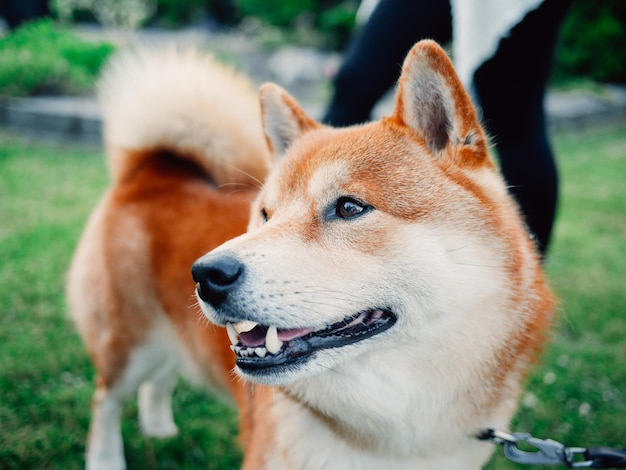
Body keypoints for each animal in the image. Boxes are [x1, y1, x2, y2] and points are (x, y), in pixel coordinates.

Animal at [69, 39, 552, 470]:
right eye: (266, 214)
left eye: (350, 208)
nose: (206, 274)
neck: (393, 437)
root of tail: (152, 171)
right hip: (128, 342)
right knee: (105, 397)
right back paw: (106, 458)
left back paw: (158, 427)